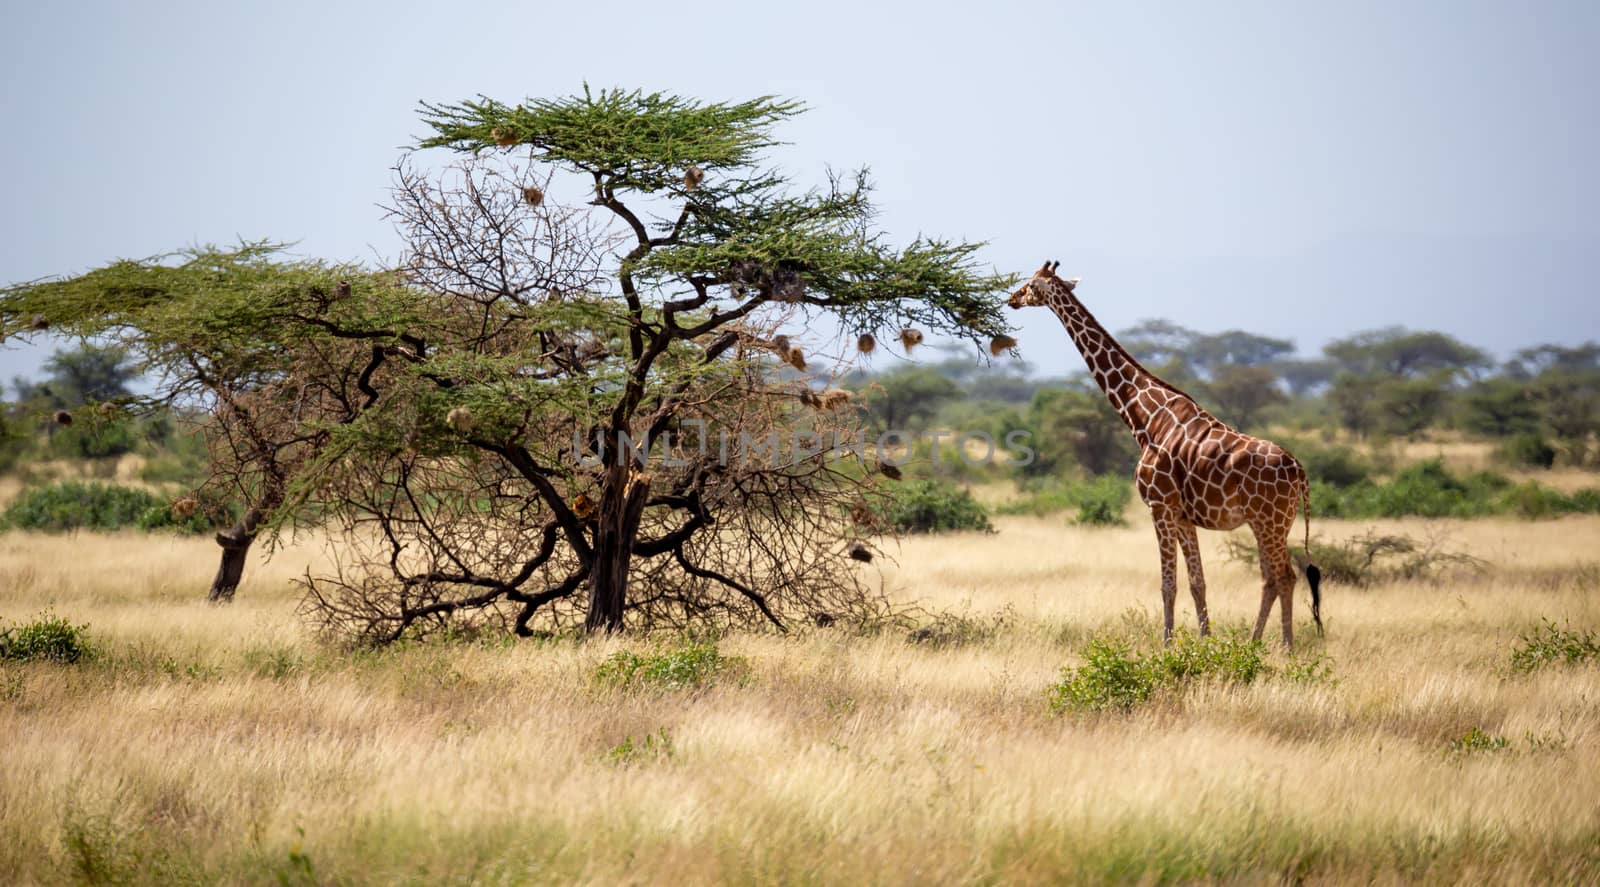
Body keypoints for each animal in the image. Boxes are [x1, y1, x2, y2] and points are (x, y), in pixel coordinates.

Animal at [1011, 259, 1324, 646]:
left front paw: (1167, 645)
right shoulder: (1183, 515)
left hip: (1270, 520)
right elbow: (1198, 582)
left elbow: (1168, 585)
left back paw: (1285, 647)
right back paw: (1253, 643)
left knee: (1285, 576)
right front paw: (1206, 642)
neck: (1143, 417)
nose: (1011, 299)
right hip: (1268, 521)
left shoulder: (1159, 506)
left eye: (1029, 284)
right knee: (1271, 577)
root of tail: (1299, 470)